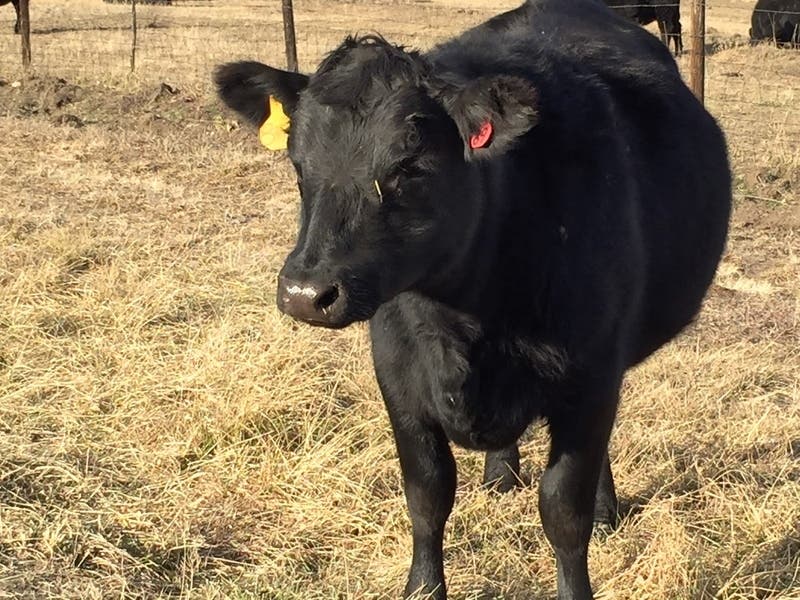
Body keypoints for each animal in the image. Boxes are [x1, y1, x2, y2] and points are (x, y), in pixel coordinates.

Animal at [214, 0, 731, 598]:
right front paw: (422, 587)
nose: (304, 294)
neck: (464, 318)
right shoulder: (398, 377)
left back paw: (605, 509)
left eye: (409, 166)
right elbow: (427, 494)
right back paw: (501, 474)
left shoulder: (592, 378)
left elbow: (564, 510)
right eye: (299, 163)